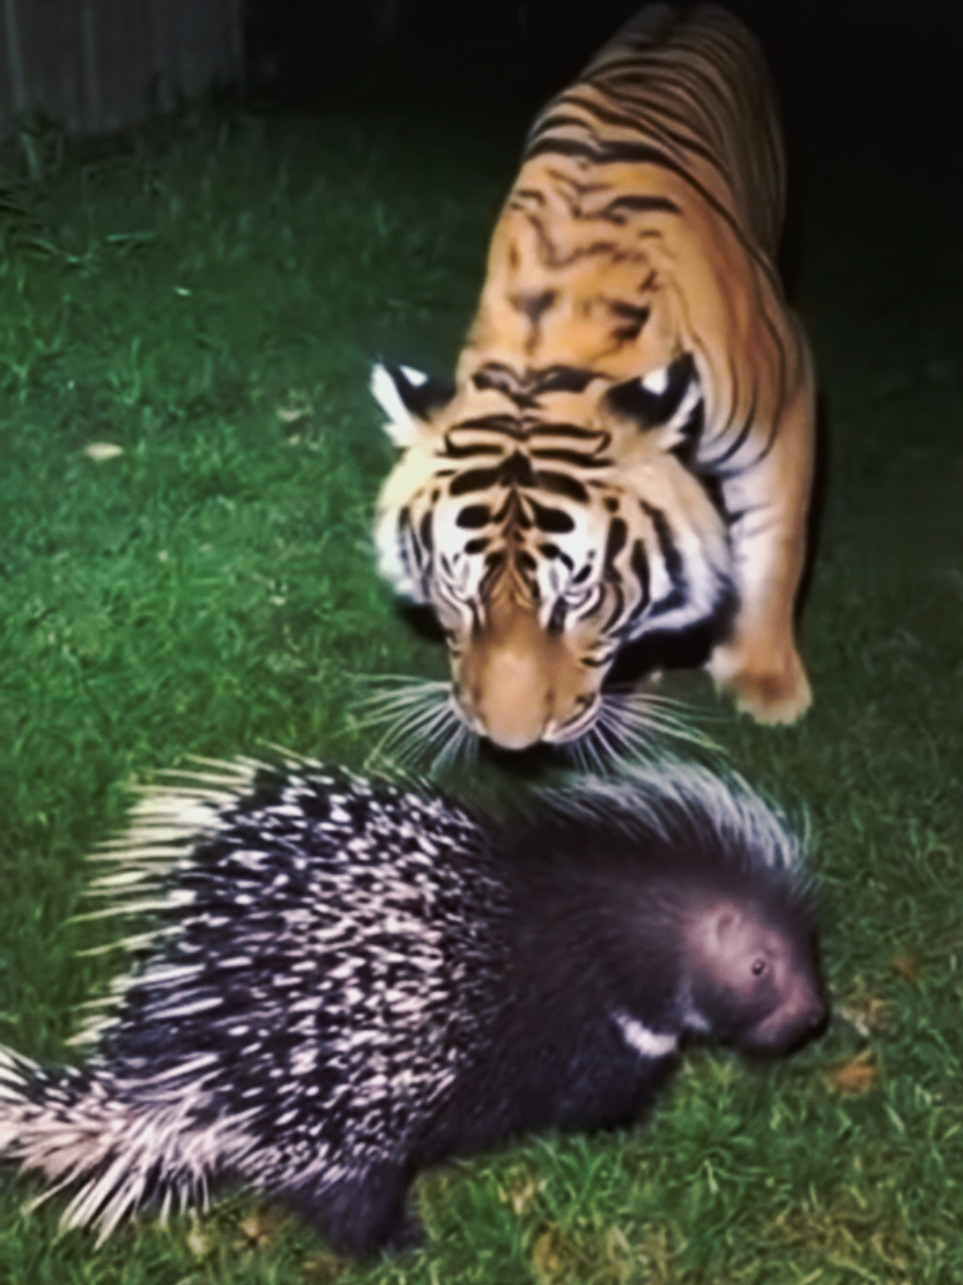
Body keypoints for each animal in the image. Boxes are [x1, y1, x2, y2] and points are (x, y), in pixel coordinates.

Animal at [371, 4, 816, 753]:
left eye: (577, 594)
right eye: (459, 590)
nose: (511, 743)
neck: (547, 356)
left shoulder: (789, 396)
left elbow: (774, 541)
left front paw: (765, 685)